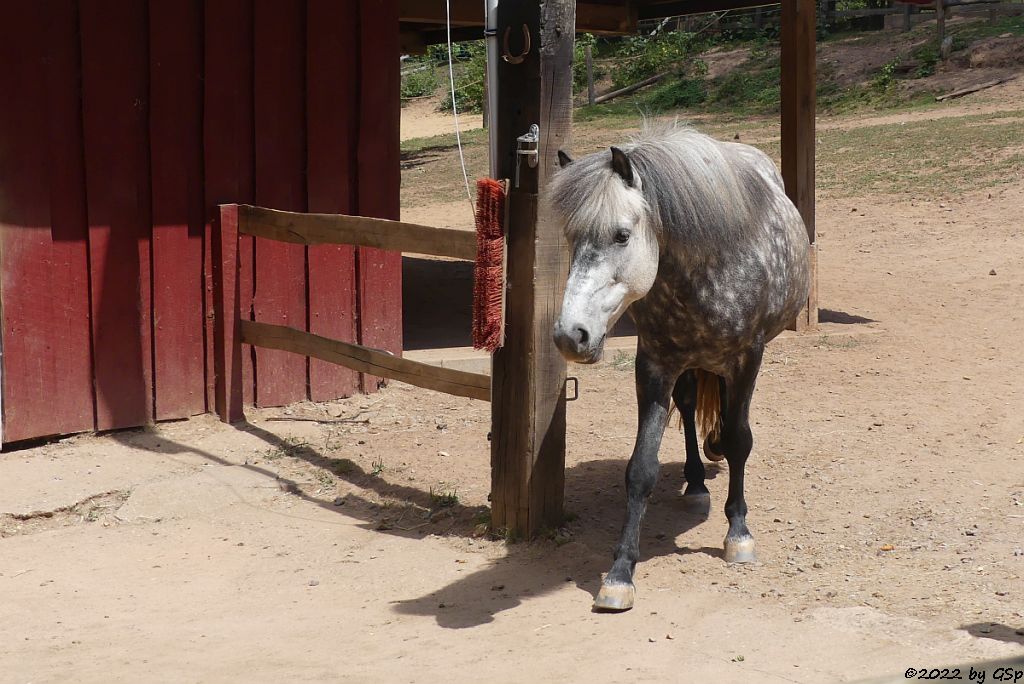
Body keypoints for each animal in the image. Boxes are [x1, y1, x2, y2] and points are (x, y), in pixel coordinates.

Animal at [552, 125, 806, 610]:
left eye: (621, 235)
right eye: (571, 238)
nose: (570, 336)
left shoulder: (748, 358)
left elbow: (741, 440)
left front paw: (738, 533)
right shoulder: (654, 365)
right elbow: (640, 469)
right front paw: (620, 573)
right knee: (688, 406)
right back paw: (695, 482)